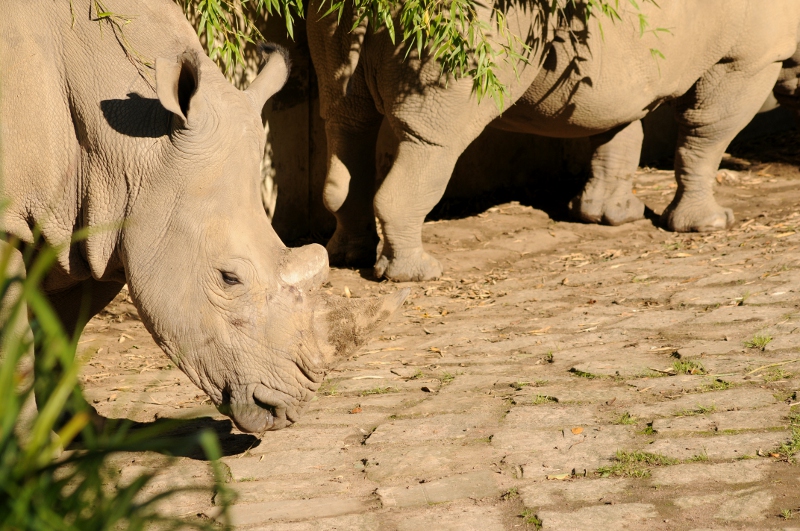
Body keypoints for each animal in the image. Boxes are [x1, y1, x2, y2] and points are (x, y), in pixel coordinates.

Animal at [0, 0, 406, 434]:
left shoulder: (95, 226)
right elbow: (16, 350)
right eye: (229, 279)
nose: (282, 412)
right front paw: (23, 444)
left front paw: (81, 431)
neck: (126, 143)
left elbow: (60, 334)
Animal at [308, 0, 800, 281]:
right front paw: (709, 224)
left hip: (332, 18)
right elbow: (706, 133)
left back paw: (346, 256)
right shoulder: (750, 57)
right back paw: (417, 274)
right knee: (435, 139)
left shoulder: (616, 69)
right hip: (463, 29)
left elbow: (616, 134)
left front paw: (611, 216)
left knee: (344, 117)